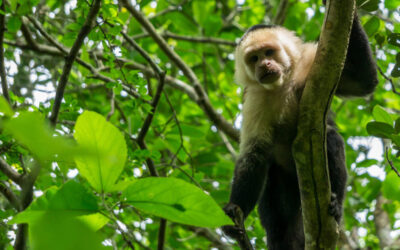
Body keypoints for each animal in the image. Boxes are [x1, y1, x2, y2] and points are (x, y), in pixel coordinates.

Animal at [223, 7, 380, 250]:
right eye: (254, 58)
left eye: (269, 52)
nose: (264, 65)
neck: (283, 82)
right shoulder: (254, 99)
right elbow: (254, 153)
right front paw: (234, 211)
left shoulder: (311, 60)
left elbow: (363, 81)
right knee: (272, 184)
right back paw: (279, 238)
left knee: (331, 138)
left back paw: (335, 204)